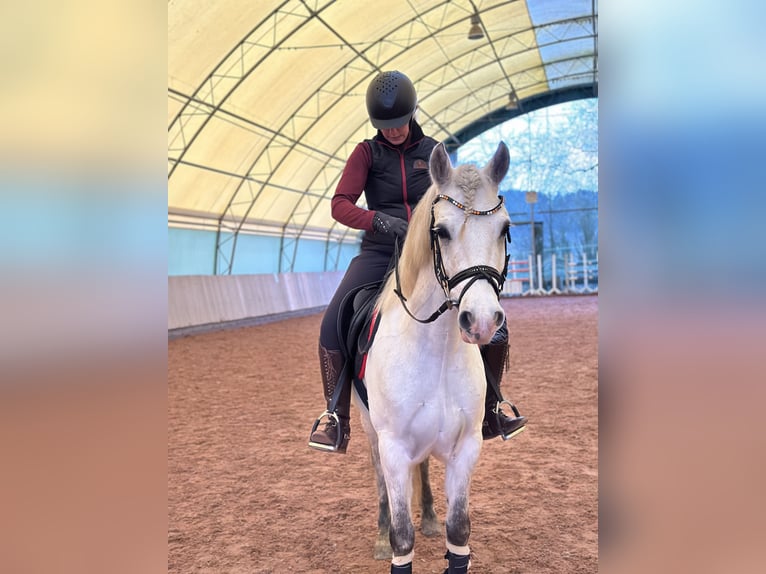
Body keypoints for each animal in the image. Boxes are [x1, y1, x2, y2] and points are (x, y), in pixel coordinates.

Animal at [355, 141, 511, 573]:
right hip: (369, 428)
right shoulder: (393, 447)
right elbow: (401, 538)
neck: (437, 351)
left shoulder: (466, 449)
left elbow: (458, 532)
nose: (481, 321)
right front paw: (391, 537)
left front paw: (436, 523)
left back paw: (427, 516)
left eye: (505, 229)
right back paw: (379, 535)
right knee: (379, 481)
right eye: (440, 231)